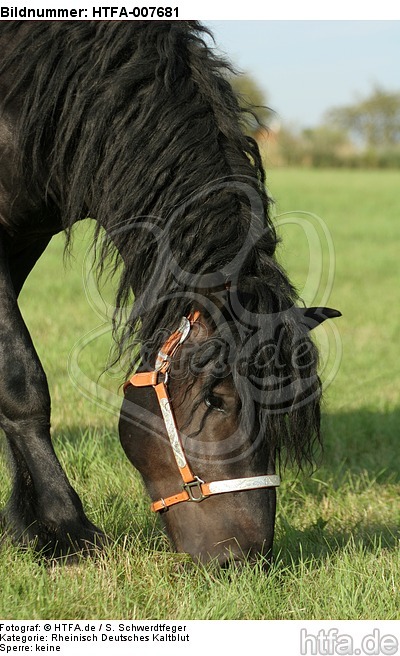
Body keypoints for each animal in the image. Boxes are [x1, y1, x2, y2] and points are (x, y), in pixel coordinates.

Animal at [0, 20, 340, 564]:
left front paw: (27, 526)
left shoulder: (25, 236)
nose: (243, 558)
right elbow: (21, 380)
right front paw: (64, 527)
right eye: (216, 400)